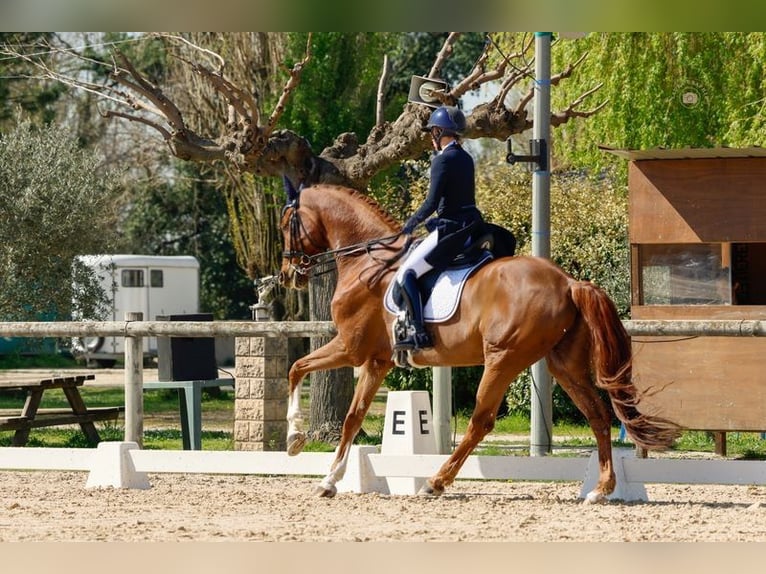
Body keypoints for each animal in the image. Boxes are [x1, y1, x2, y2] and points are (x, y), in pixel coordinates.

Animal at [278, 183, 680, 502]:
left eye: (285, 225)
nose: (287, 276)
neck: (368, 264)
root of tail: (569, 282)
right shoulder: (377, 360)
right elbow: (352, 417)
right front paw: (329, 479)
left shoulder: (351, 348)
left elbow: (296, 369)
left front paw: (294, 440)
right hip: (562, 363)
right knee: (597, 414)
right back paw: (601, 489)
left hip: (502, 359)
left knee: (480, 422)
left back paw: (435, 482)